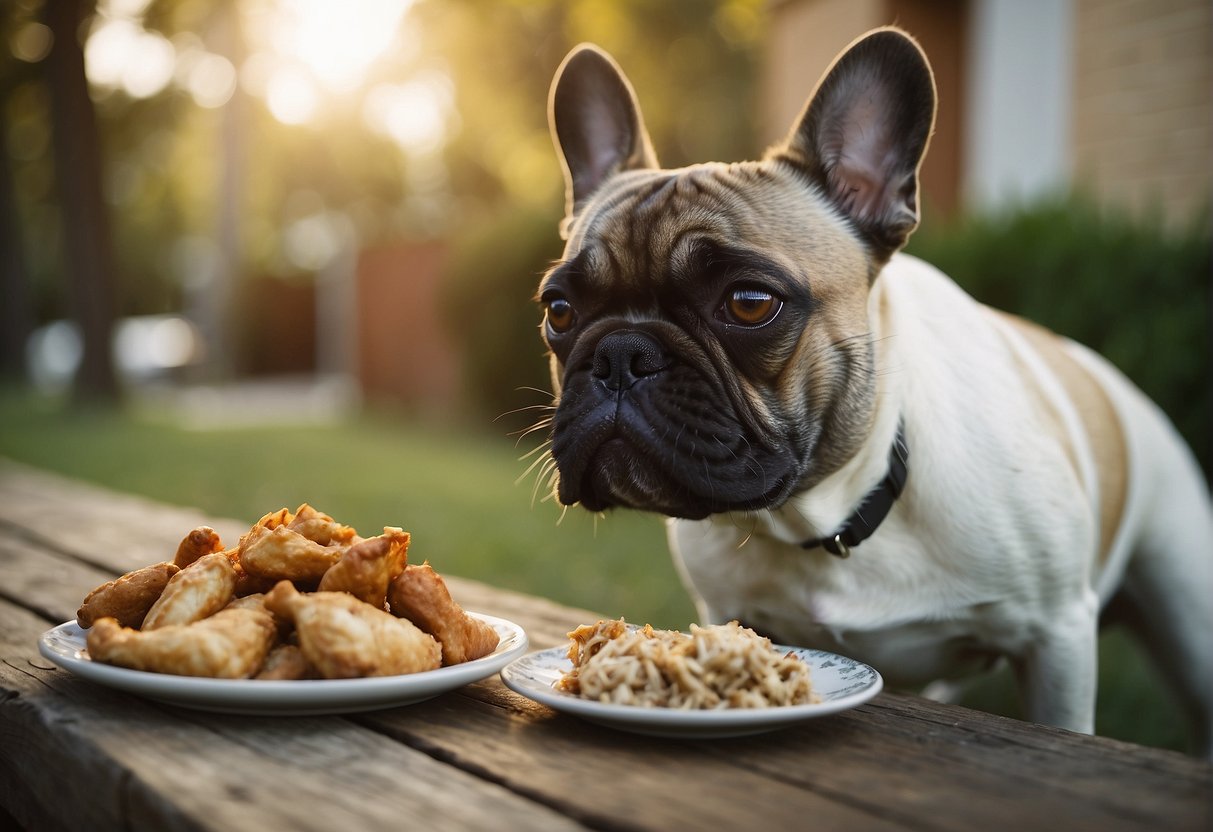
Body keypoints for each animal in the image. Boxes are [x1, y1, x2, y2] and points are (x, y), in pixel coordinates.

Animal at [540, 27, 1213, 751]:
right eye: (559, 311)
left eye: (749, 303)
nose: (621, 354)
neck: (833, 514)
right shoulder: (726, 609)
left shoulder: (1058, 637)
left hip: (1189, 618)